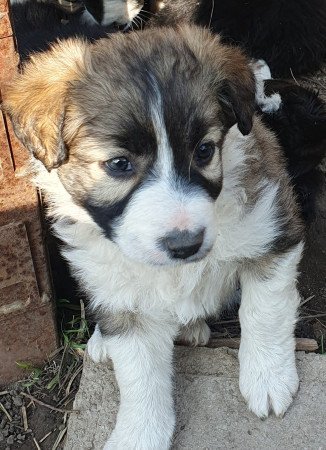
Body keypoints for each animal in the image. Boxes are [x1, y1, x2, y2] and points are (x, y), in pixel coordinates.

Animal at [1, 26, 304, 448]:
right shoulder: (126, 304)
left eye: (205, 150)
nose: (185, 244)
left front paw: (268, 377)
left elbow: (265, 310)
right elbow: (140, 376)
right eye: (119, 164)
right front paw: (138, 434)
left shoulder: (272, 231)